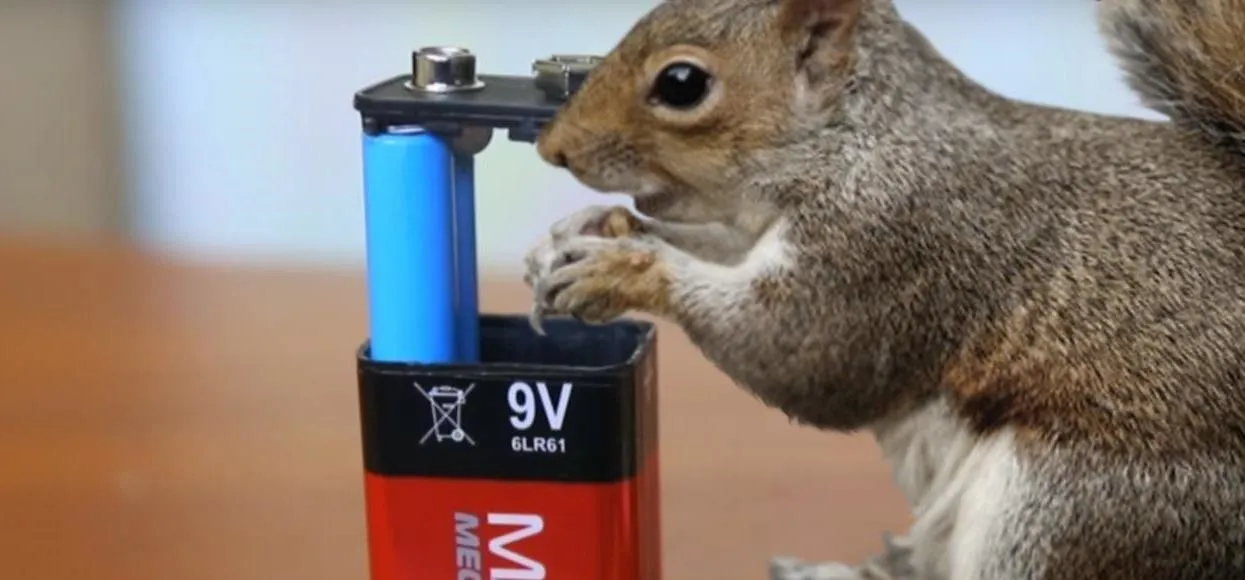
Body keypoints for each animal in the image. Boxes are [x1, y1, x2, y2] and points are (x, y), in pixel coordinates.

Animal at [520, 0, 1245, 577]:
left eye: (681, 83)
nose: (553, 148)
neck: (858, 136)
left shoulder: (899, 240)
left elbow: (803, 349)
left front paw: (622, 267)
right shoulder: (759, 233)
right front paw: (586, 230)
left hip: (1076, 509)